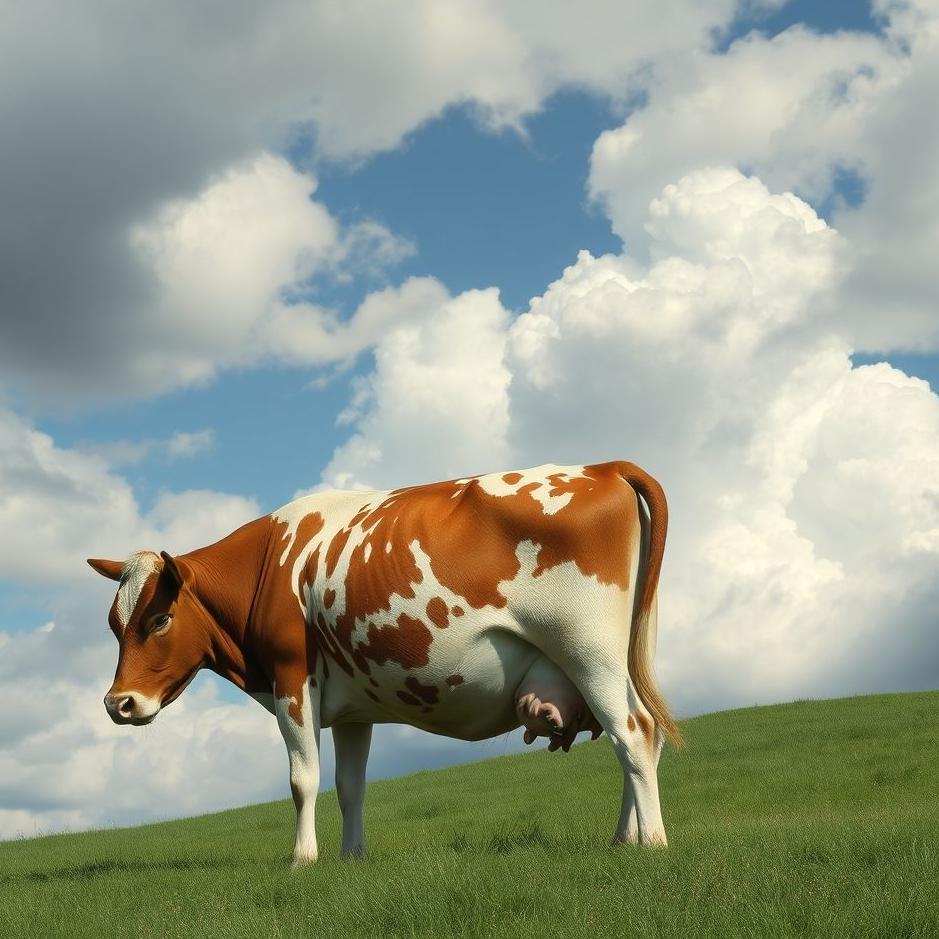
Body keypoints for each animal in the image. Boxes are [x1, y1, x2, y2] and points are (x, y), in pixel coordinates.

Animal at [88, 460, 681, 864]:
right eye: (114, 624)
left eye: (158, 620)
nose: (118, 704)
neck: (268, 566)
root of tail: (603, 467)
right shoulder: (354, 708)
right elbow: (351, 785)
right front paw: (352, 857)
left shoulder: (291, 680)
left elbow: (303, 779)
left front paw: (303, 859)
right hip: (621, 658)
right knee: (637, 734)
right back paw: (623, 838)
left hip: (587, 650)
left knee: (633, 733)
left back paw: (652, 842)